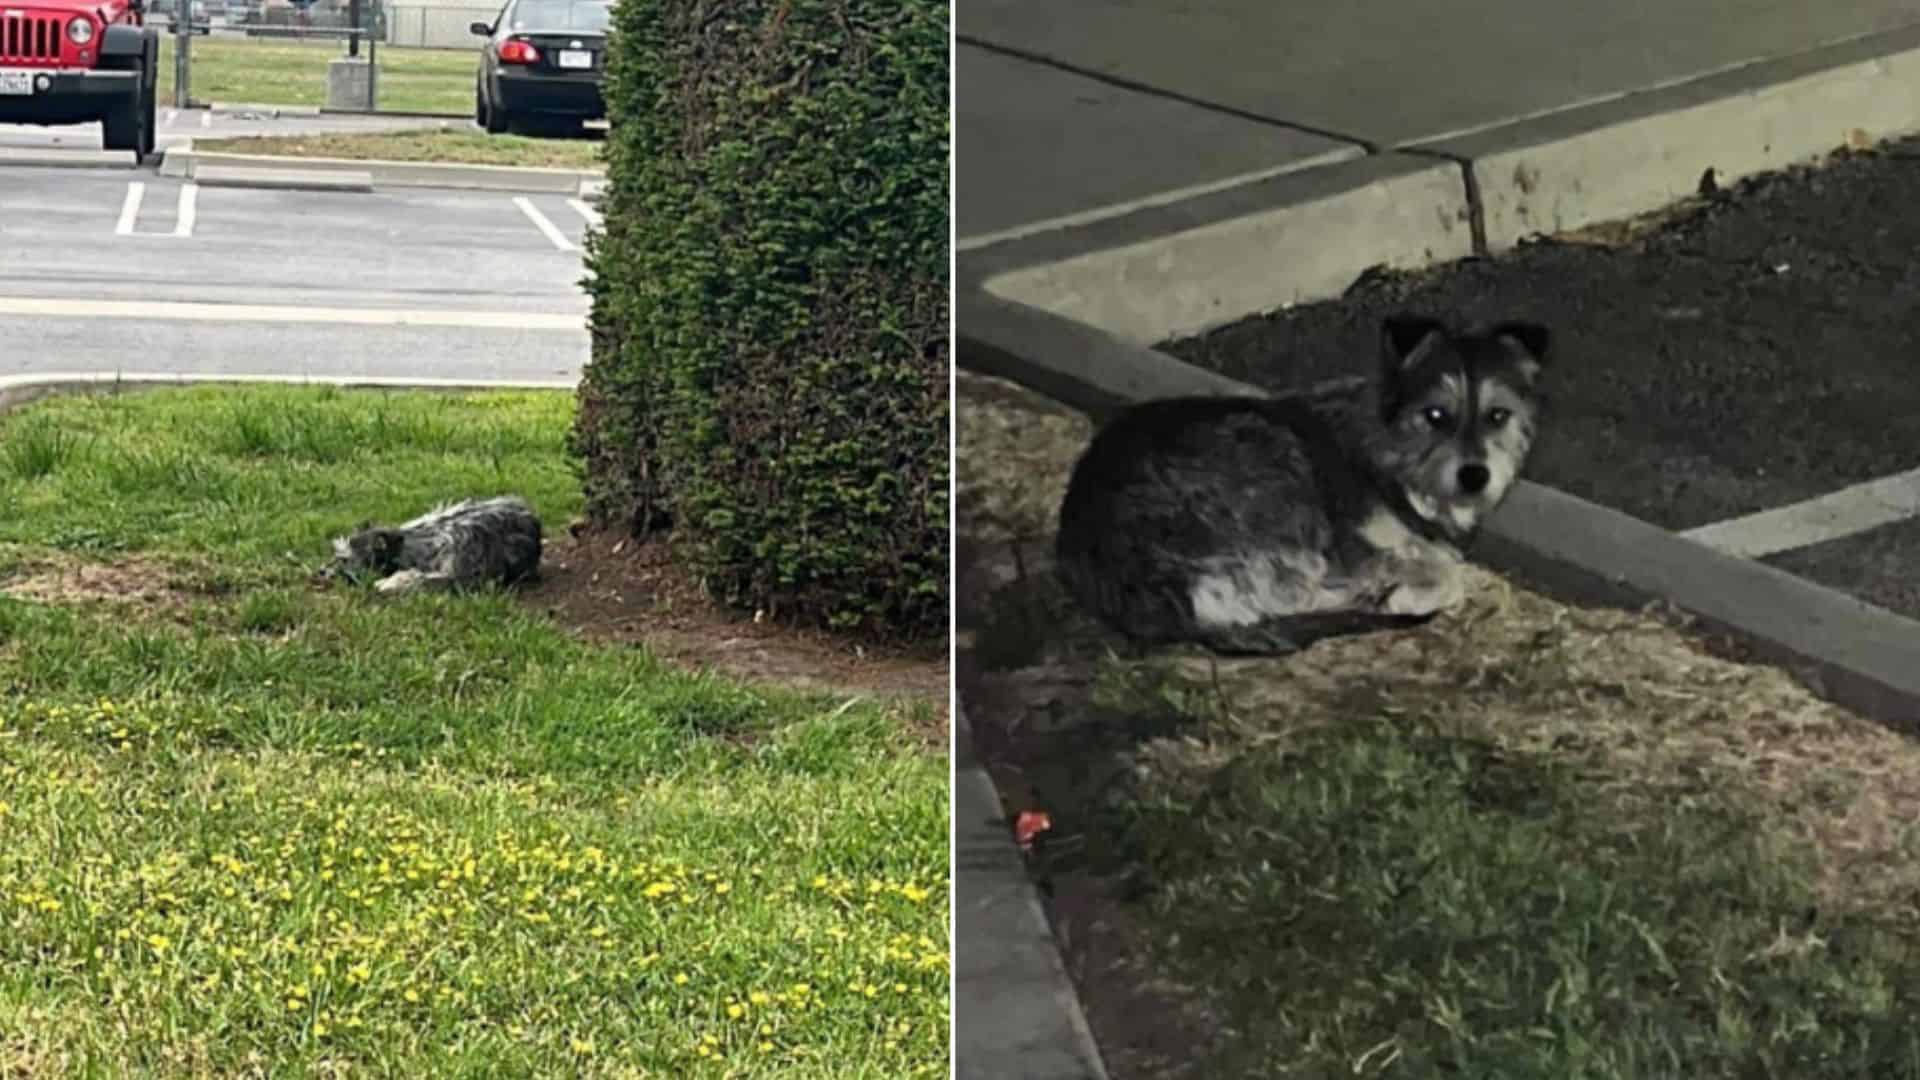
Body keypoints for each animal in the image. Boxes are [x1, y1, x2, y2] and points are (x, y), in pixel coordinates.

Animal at [322, 495, 545, 591]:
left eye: (344, 560)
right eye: (334, 554)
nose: (320, 571)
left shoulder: (464, 575)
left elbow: (424, 578)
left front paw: (392, 582)